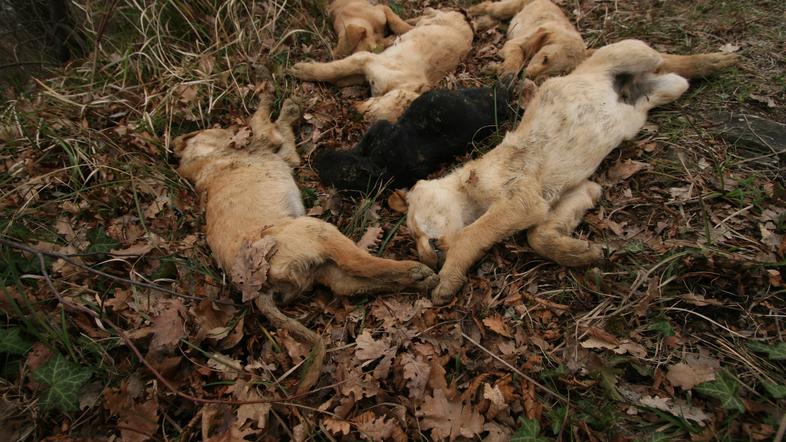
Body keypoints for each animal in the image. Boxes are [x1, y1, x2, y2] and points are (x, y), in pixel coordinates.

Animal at [290, 8, 468, 121]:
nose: (352, 111)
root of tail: (469, 23)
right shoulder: (365, 59)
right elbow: (334, 69)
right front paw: (302, 70)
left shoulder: (363, 69)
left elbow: (340, 76)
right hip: (439, 17)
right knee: (429, 13)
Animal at [468, 0, 740, 81]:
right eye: (544, 58)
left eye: (558, 73)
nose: (529, 78)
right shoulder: (518, 43)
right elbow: (515, 53)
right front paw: (507, 70)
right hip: (507, 6)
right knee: (490, 6)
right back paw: (472, 11)